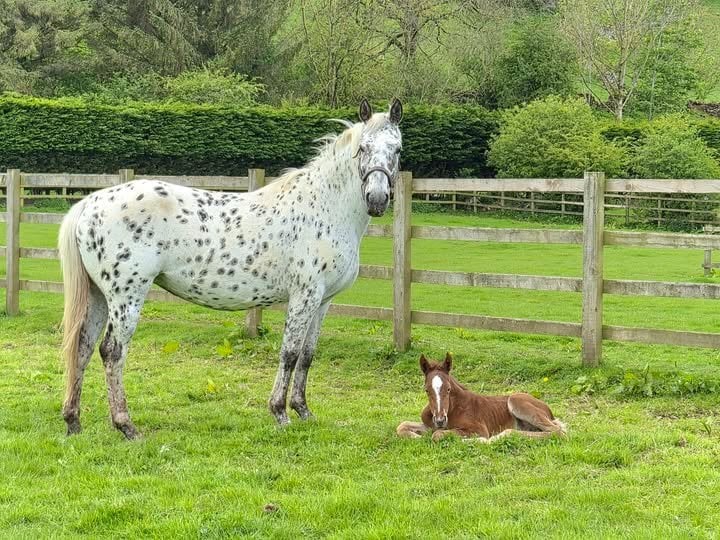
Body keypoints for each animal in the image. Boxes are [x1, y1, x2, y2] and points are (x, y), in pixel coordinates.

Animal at [58, 98, 404, 439]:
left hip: (99, 296)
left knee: (83, 346)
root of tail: (90, 203)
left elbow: (307, 355)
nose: (377, 199)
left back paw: (74, 422)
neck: (324, 207)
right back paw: (126, 426)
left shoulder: (323, 302)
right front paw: (280, 414)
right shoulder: (304, 296)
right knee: (112, 351)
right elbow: (289, 353)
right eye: (363, 148)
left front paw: (303, 411)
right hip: (126, 297)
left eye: (398, 149)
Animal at [397, 354, 566, 442]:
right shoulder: (430, 424)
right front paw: (417, 436)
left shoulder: (479, 429)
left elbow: (437, 435)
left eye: (448, 389)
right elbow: (402, 425)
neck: (453, 408)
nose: (439, 420)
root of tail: (548, 410)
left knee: (558, 432)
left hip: (516, 401)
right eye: (426, 390)